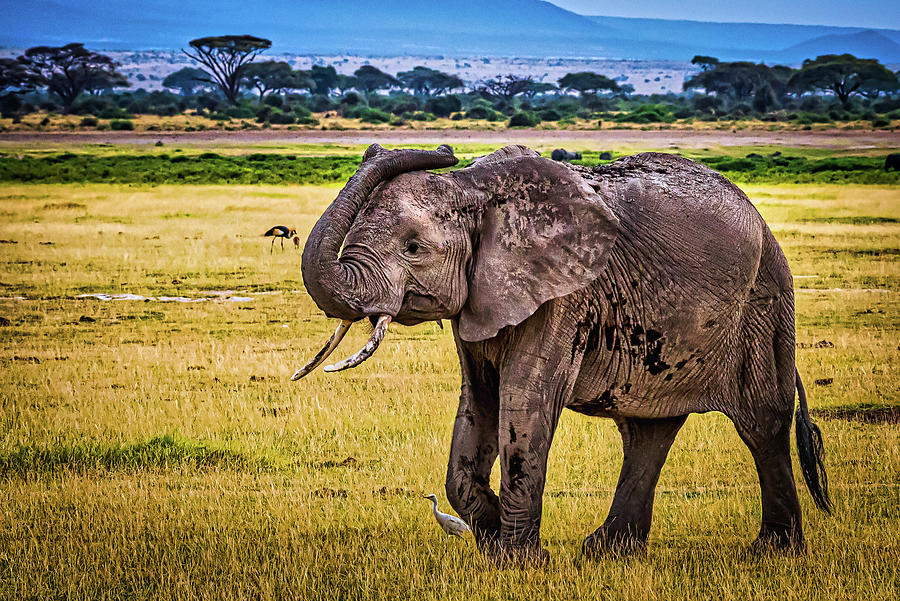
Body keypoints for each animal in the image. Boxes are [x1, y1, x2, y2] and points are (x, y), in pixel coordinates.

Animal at [294, 144, 828, 564]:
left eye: (413, 247)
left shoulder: (565, 295)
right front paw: (492, 538)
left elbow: (524, 404)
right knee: (648, 431)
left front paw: (520, 560)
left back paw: (774, 552)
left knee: (761, 421)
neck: (473, 188)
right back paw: (606, 551)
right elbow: (479, 404)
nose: (442, 150)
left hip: (764, 298)